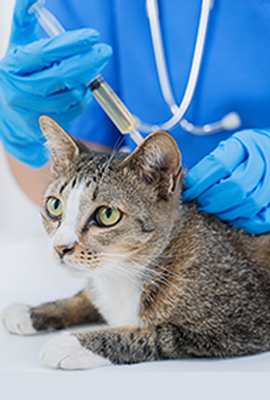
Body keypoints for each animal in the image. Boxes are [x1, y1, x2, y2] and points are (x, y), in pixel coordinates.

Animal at [3, 114, 270, 370]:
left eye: (107, 214)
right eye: (55, 206)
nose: (60, 247)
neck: (122, 274)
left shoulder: (239, 324)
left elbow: (153, 335)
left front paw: (75, 344)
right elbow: (87, 297)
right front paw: (31, 311)